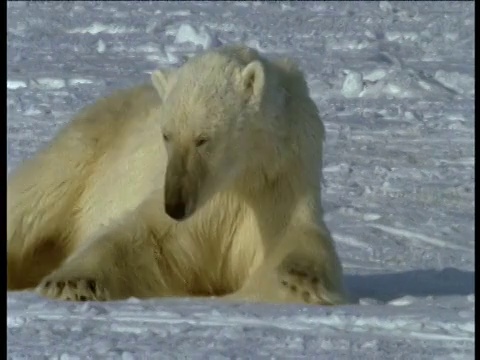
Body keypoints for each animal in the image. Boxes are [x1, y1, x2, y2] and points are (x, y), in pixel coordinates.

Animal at [7, 43, 348, 306]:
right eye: (166, 135)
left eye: (203, 138)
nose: (175, 204)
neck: (239, 175)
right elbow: (146, 237)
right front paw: (70, 283)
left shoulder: (279, 178)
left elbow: (293, 235)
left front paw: (299, 282)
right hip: (89, 147)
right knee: (34, 198)